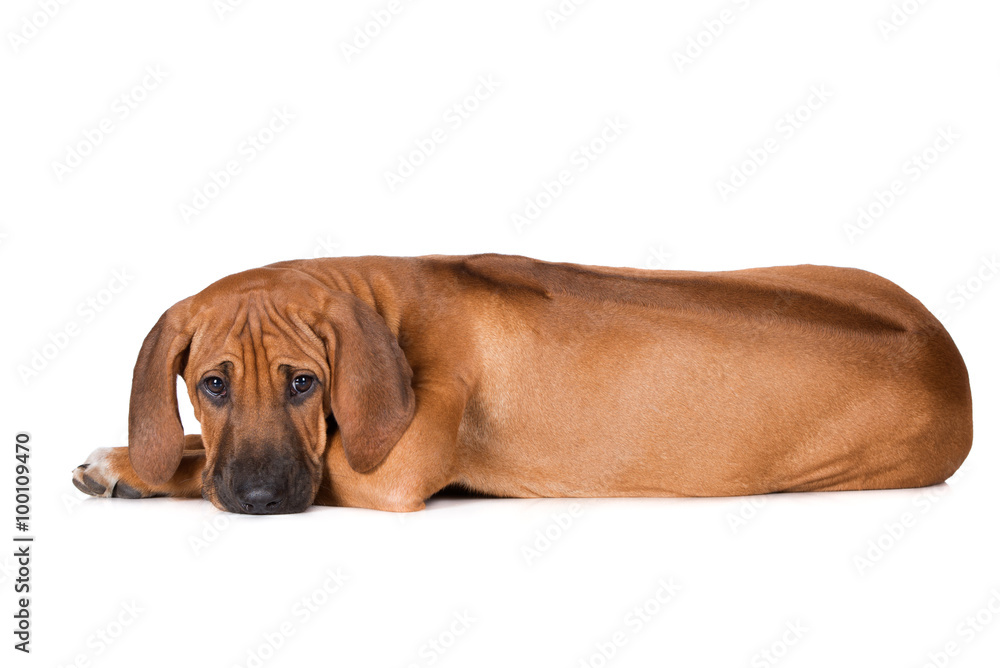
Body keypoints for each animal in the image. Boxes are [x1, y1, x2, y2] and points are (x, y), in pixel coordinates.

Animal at [72, 253, 976, 516]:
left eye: (303, 383)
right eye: (212, 385)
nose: (259, 500)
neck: (386, 302)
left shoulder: (387, 475)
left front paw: (138, 466)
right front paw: (134, 460)